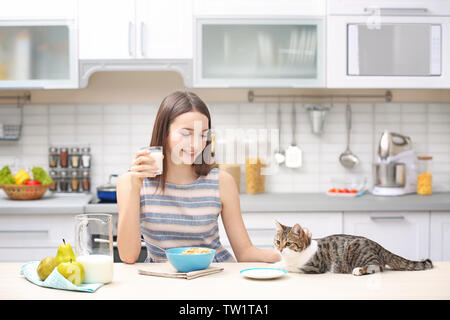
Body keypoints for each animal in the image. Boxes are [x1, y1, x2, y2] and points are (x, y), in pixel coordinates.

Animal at [272, 221, 434, 276]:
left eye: (288, 244)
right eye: (277, 242)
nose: (279, 250)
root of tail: (378, 245)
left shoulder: (314, 267)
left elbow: (291, 267)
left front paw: (280, 266)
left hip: (360, 252)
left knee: (377, 266)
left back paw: (360, 270)